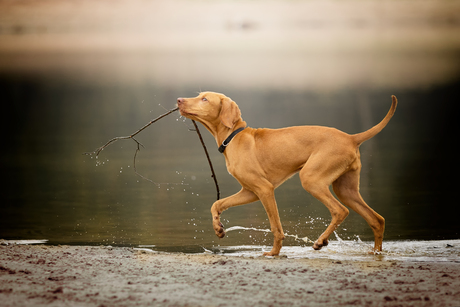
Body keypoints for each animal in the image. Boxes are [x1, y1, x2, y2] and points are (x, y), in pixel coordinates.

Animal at [176, 92, 396, 256]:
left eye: (205, 99)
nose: (178, 100)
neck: (234, 137)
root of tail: (351, 138)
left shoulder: (264, 189)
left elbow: (276, 227)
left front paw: (274, 253)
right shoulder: (249, 192)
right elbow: (217, 204)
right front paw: (218, 228)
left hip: (311, 179)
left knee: (340, 210)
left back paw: (321, 241)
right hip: (346, 189)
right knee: (377, 220)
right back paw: (375, 252)